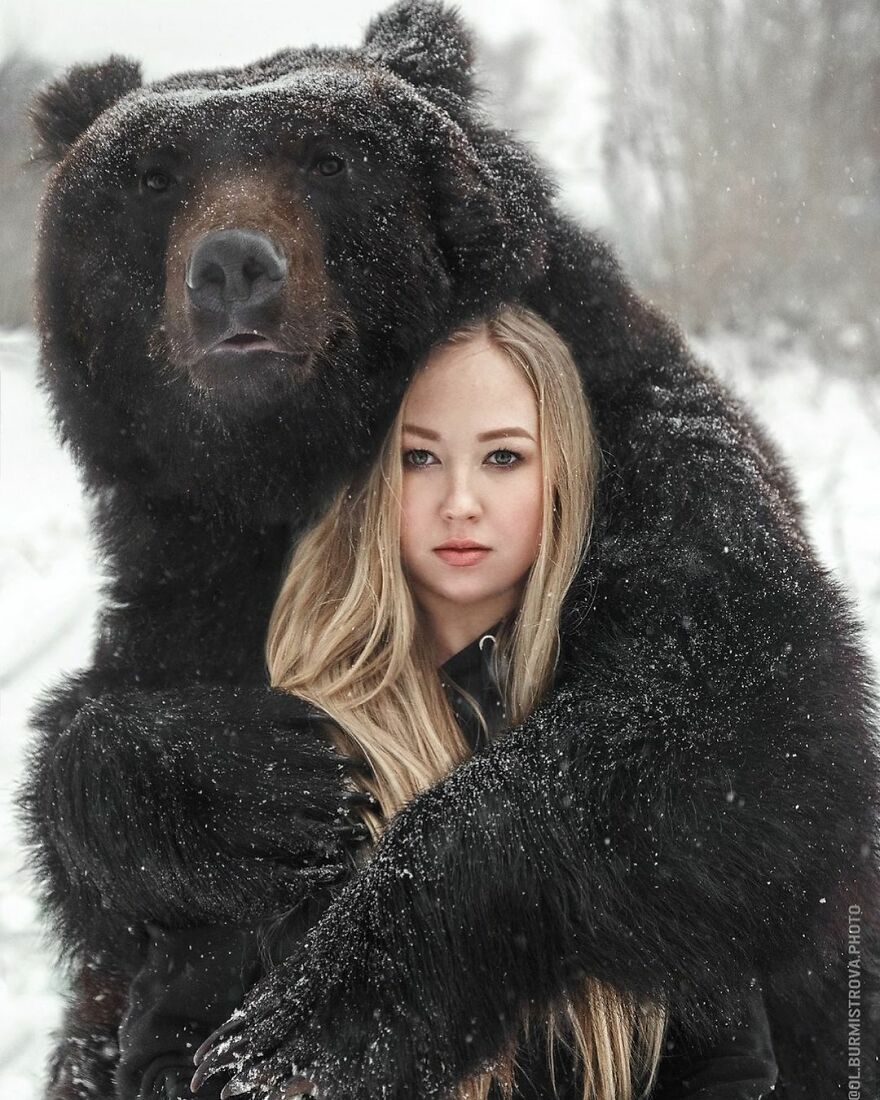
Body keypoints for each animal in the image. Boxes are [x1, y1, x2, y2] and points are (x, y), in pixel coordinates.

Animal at [18, 2, 880, 1100]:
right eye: (153, 175)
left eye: (330, 156)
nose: (231, 270)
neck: (291, 472)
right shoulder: (189, 573)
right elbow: (93, 763)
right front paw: (261, 783)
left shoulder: (646, 465)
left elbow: (738, 718)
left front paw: (307, 1025)